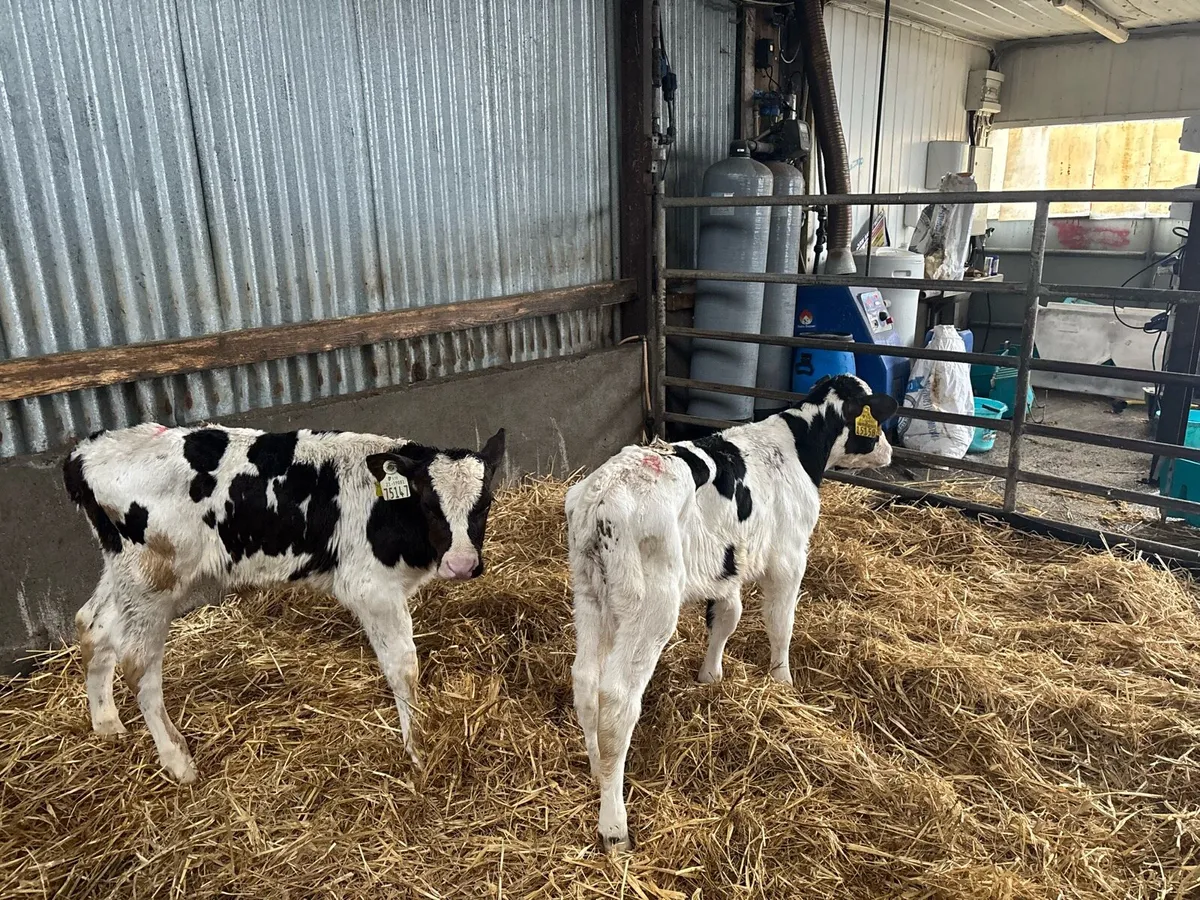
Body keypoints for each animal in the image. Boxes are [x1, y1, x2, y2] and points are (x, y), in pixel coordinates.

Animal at [63, 423, 506, 783]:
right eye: (429, 504)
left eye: (484, 503)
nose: (462, 564)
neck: (385, 506)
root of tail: (87, 451)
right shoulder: (372, 589)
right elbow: (404, 669)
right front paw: (418, 749)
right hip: (152, 582)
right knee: (138, 664)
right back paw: (178, 761)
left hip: (123, 573)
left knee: (92, 624)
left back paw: (106, 723)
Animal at [565, 374, 897, 850]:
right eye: (874, 418)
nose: (888, 451)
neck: (796, 445)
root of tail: (602, 492)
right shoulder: (789, 555)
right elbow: (781, 623)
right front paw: (782, 681)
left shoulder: (728, 565)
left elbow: (727, 617)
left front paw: (711, 677)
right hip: (650, 608)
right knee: (617, 699)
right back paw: (614, 824)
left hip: (590, 595)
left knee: (586, 680)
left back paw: (596, 771)